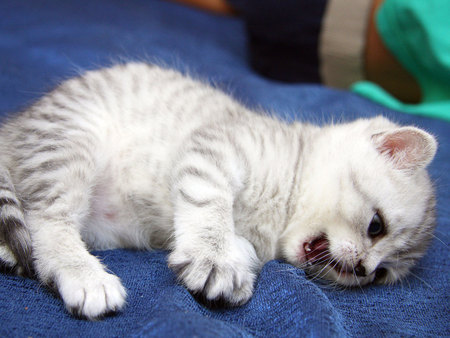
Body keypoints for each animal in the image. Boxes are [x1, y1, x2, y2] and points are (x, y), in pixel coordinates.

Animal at [0, 62, 438, 320]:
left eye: (381, 275)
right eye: (376, 226)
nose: (362, 268)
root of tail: (15, 124)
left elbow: (240, 246)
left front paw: (234, 262)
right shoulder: (215, 148)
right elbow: (209, 204)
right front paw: (214, 256)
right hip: (70, 146)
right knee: (47, 222)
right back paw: (84, 276)